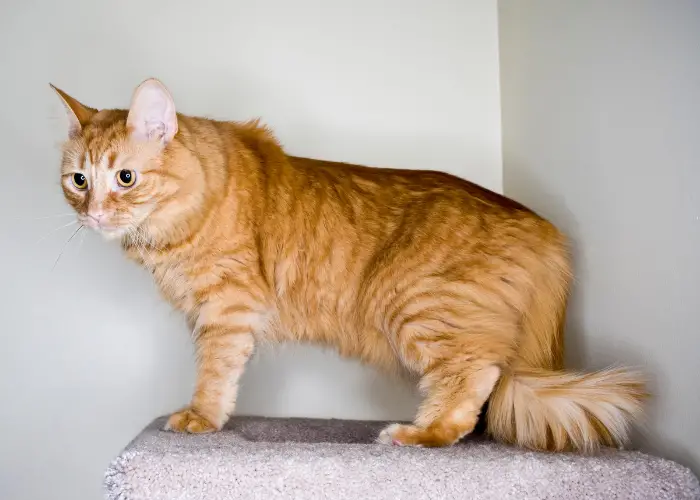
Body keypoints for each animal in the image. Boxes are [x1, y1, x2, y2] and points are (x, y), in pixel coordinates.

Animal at [52, 79, 648, 454]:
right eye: (78, 181)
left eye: (125, 177)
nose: (94, 214)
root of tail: (544, 227)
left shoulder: (227, 308)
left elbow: (214, 374)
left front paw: (201, 418)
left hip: (416, 306)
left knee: (474, 376)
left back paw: (417, 435)